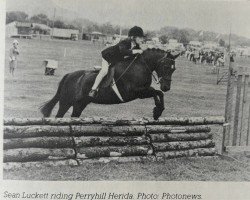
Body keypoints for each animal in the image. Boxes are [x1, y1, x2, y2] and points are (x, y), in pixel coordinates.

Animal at [40, 48, 179, 119]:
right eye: (166, 66)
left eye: (174, 69)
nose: (167, 87)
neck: (141, 66)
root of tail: (69, 75)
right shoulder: (135, 92)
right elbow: (156, 92)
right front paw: (157, 111)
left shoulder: (143, 90)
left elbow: (158, 93)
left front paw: (158, 111)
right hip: (65, 102)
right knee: (59, 116)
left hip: (80, 104)